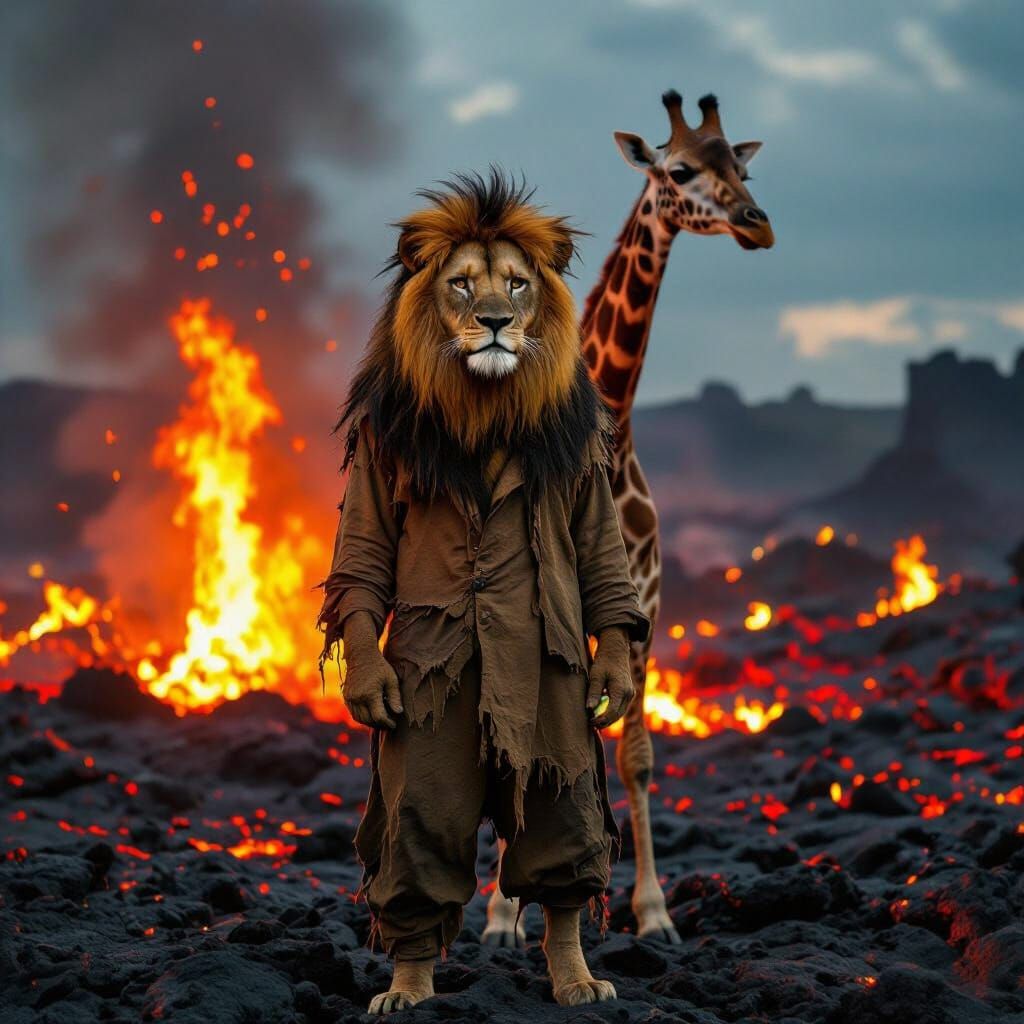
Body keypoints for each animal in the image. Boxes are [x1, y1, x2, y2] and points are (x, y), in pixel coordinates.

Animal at [483, 90, 773, 946]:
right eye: (676, 171)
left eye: (741, 167)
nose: (756, 223)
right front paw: (502, 917)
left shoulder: (640, 607)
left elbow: (636, 757)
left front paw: (651, 912)